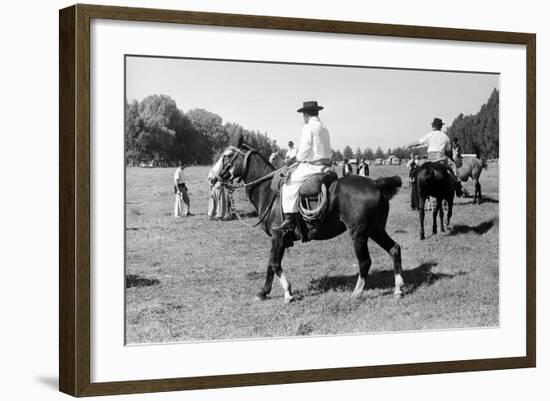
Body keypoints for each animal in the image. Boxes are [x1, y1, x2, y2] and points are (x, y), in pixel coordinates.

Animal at [213, 139, 408, 302]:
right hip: (376, 230)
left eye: (227, 155)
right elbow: (270, 264)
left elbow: (274, 264)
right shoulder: (279, 239)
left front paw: (288, 292)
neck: (269, 191)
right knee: (394, 249)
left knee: (365, 262)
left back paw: (356, 293)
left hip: (359, 234)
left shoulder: (278, 236)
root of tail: (376, 183)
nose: (211, 177)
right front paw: (263, 292)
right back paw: (398, 289)